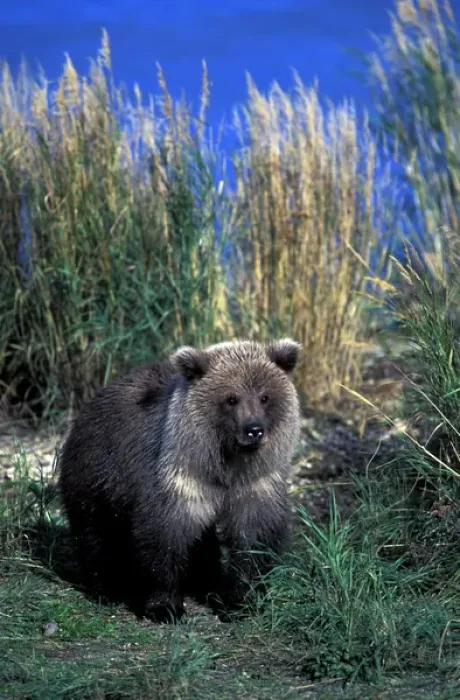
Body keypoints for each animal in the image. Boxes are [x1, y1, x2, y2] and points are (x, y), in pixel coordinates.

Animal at [57, 338, 301, 623]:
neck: (226, 465)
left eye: (264, 396)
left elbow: (254, 538)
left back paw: (207, 582)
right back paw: (108, 588)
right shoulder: (179, 477)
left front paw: (241, 601)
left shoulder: (255, 484)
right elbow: (165, 538)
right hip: (98, 473)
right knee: (96, 530)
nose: (253, 430)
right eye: (231, 398)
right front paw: (164, 607)